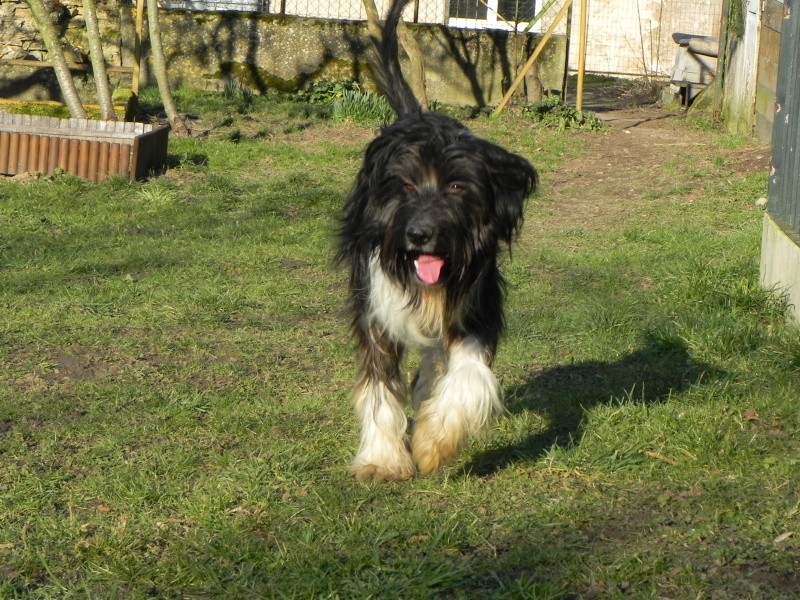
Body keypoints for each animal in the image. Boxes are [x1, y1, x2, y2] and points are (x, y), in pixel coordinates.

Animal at [338, 0, 536, 480]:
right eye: (406, 186)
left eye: (457, 187)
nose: (419, 235)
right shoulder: (375, 304)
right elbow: (379, 384)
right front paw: (382, 458)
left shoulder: (477, 304)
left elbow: (470, 377)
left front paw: (433, 442)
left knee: (435, 358)